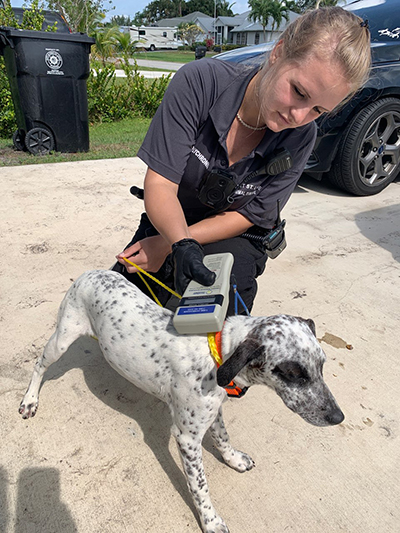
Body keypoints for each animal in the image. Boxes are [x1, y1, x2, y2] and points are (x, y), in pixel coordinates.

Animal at [18, 270, 344, 532]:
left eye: (322, 365)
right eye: (293, 373)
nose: (338, 418)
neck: (218, 352)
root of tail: (90, 272)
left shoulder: (214, 411)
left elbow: (223, 439)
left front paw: (234, 460)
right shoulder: (187, 438)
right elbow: (200, 487)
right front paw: (211, 521)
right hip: (61, 340)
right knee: (39, 365)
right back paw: (30, 400)